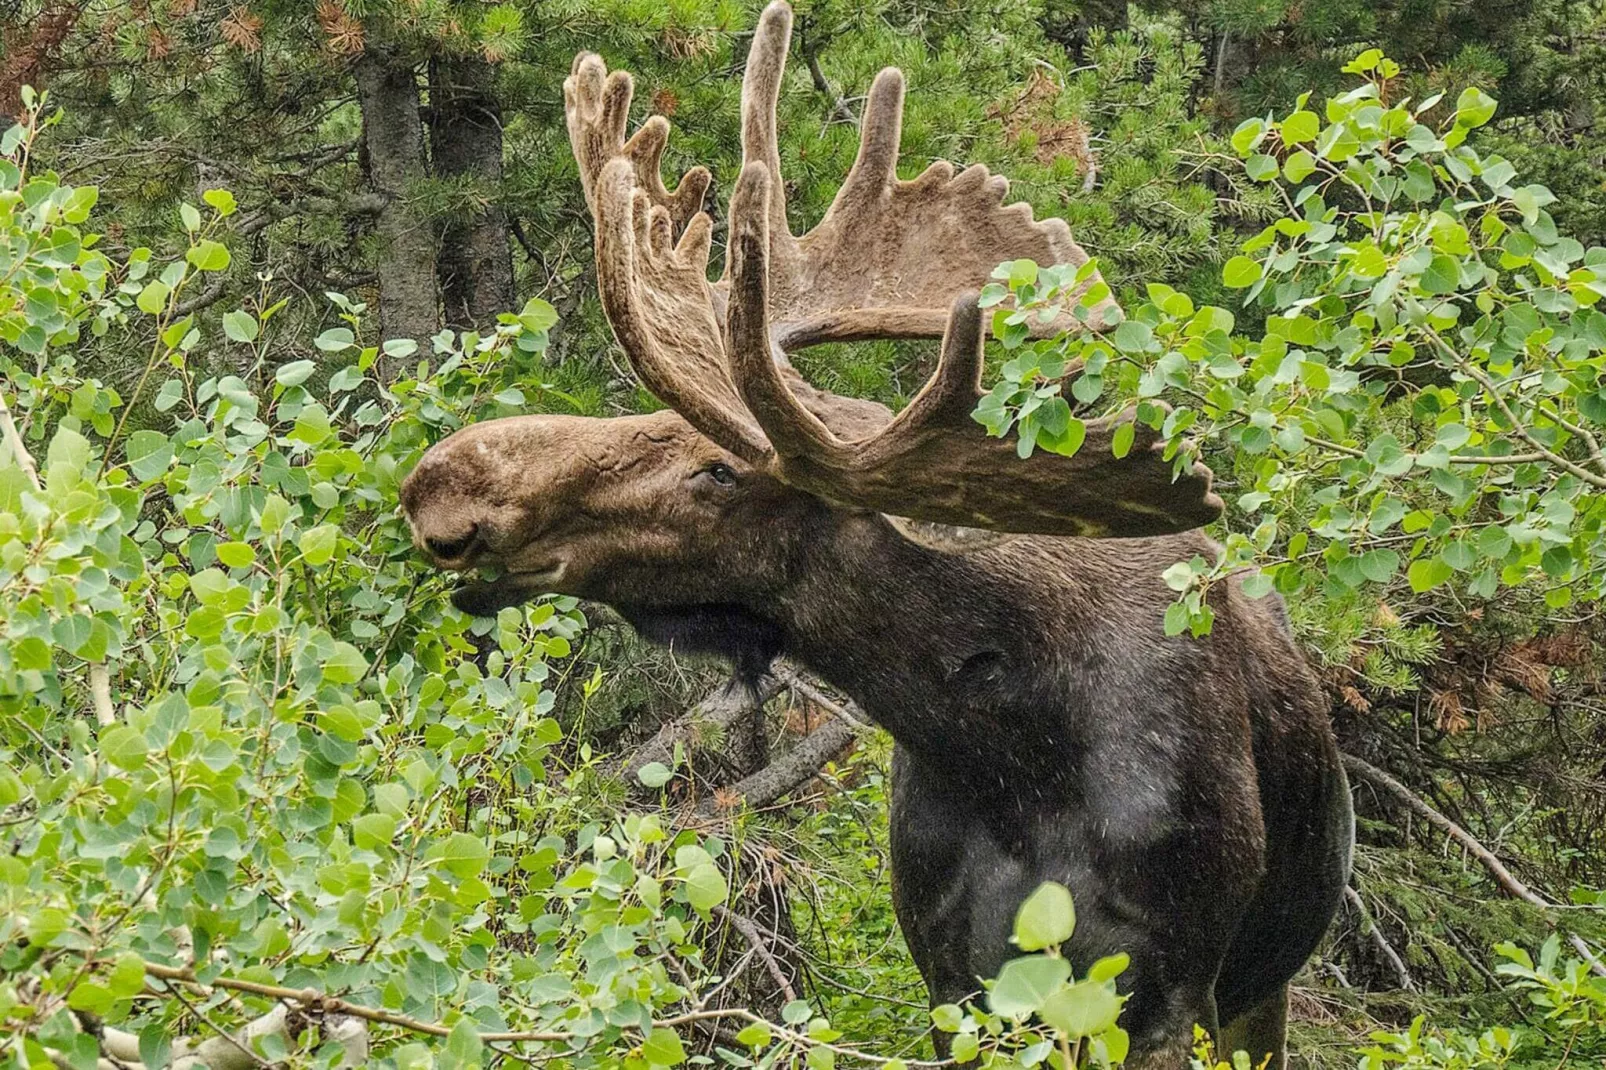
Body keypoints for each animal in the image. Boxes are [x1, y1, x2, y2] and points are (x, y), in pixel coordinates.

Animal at [395, 4, 1349, 1060]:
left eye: (717, 470)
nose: (441, 480)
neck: (1005, 748)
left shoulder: (1168, 991)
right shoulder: (951, 977)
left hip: (1263, 989)